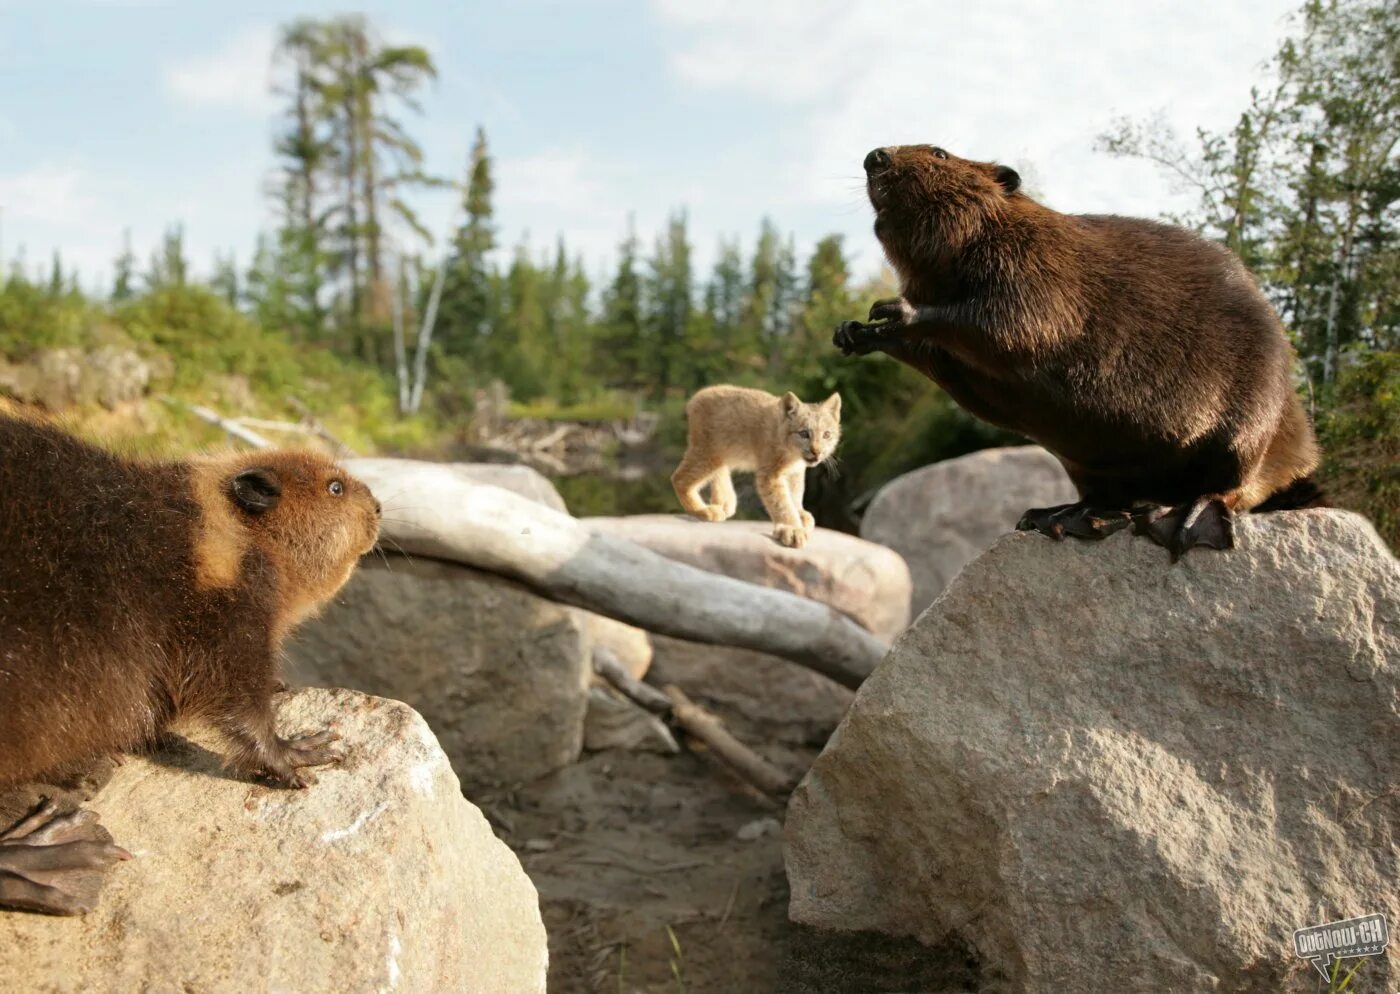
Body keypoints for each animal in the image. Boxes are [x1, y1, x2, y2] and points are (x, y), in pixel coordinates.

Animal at [0, 414, 383, 918]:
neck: (212, 530)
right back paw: (56, 852)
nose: (378, 507)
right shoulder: (226, 608)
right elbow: (233, 696)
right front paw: (301, 751)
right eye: (335, 487)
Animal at [669, 386, 840, 548]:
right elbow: (781, 502)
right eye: (804, 434)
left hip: (720, 451)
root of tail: (699, 394)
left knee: (718, 469)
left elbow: (795, 493)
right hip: (707, 453)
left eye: (826, 435)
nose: (817, 452)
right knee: (679, 478)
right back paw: (703, 510)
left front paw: (799, 513)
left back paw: (724, 502)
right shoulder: (770, 474)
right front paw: (792, 528)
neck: (793, 454)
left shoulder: (795, 472)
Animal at [828, 144, 1321, 557]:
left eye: (939, 153)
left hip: (1250, 422)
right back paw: (1060, 516)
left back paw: (1184, 520)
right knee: (1107, 495)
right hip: (1088, 462)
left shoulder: (1039, 268)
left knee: (1230, 486)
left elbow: (1010, 324)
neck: (999, 226)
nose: (875, 156)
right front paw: (853, 331)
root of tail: (1301, 452)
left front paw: (894, 310)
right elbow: (935, 355)